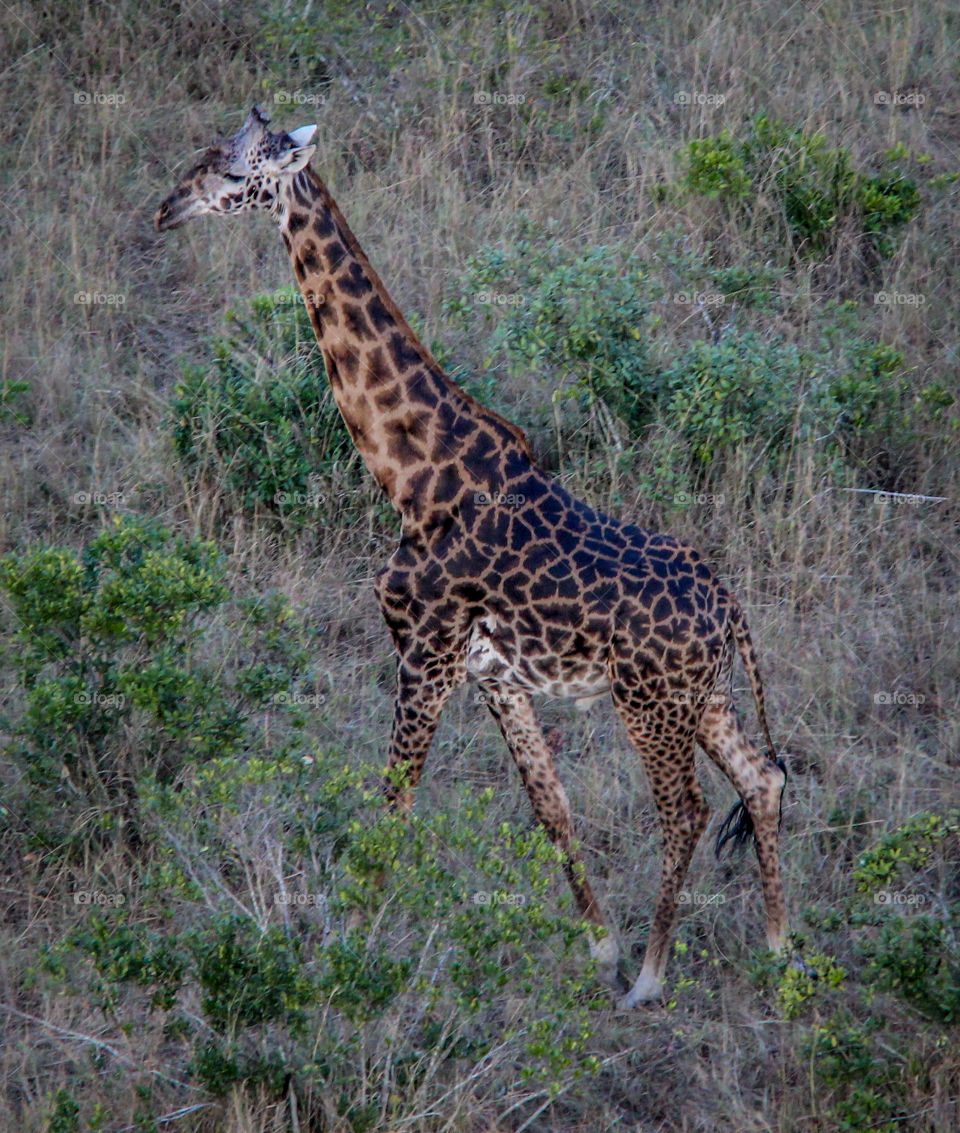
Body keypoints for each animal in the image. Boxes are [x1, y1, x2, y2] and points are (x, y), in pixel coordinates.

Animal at [154, 108, 793, 1010]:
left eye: (232, 170)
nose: (165, 209)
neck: (410, 473)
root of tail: (730, 609)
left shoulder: (424, 654)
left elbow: (393, 802)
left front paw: (347, 951)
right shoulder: (492, 673)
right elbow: (549, 805)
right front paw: (597, 944)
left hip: (650, 704)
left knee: (687, 811)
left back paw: (652, 976)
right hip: (703, 697)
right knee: (762, 778)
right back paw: (779, 948)